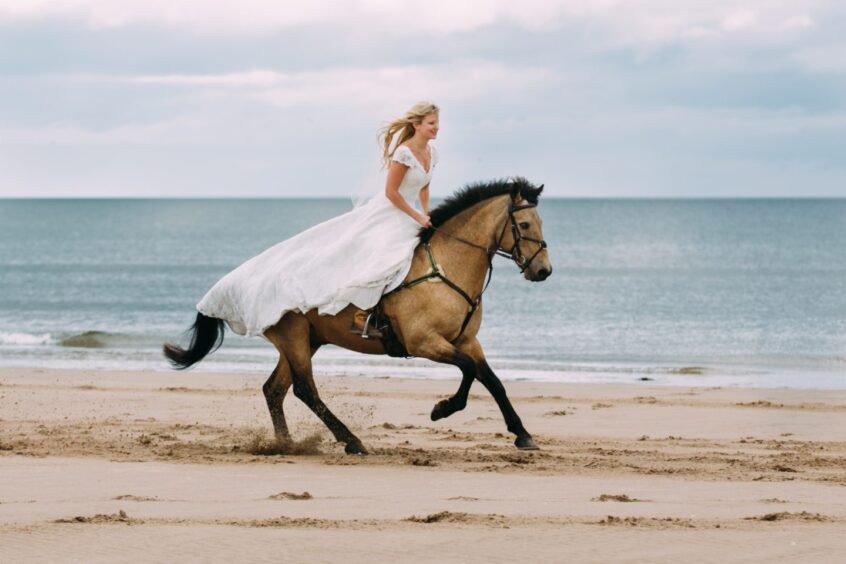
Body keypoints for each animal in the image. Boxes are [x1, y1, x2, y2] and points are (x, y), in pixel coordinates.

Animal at [162, 178, 552, 456]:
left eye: (539, 222)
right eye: (524, 224)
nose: (543, 271)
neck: (445, 268)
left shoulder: (467, 340)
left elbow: (493, 381)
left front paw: (523, 434)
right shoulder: (425, 342)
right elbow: (470, 372)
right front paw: (443, 409)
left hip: (305, 340)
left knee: (275, 390)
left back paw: (287, 444)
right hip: (295, 338)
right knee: (304, 389)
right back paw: (351, 441)